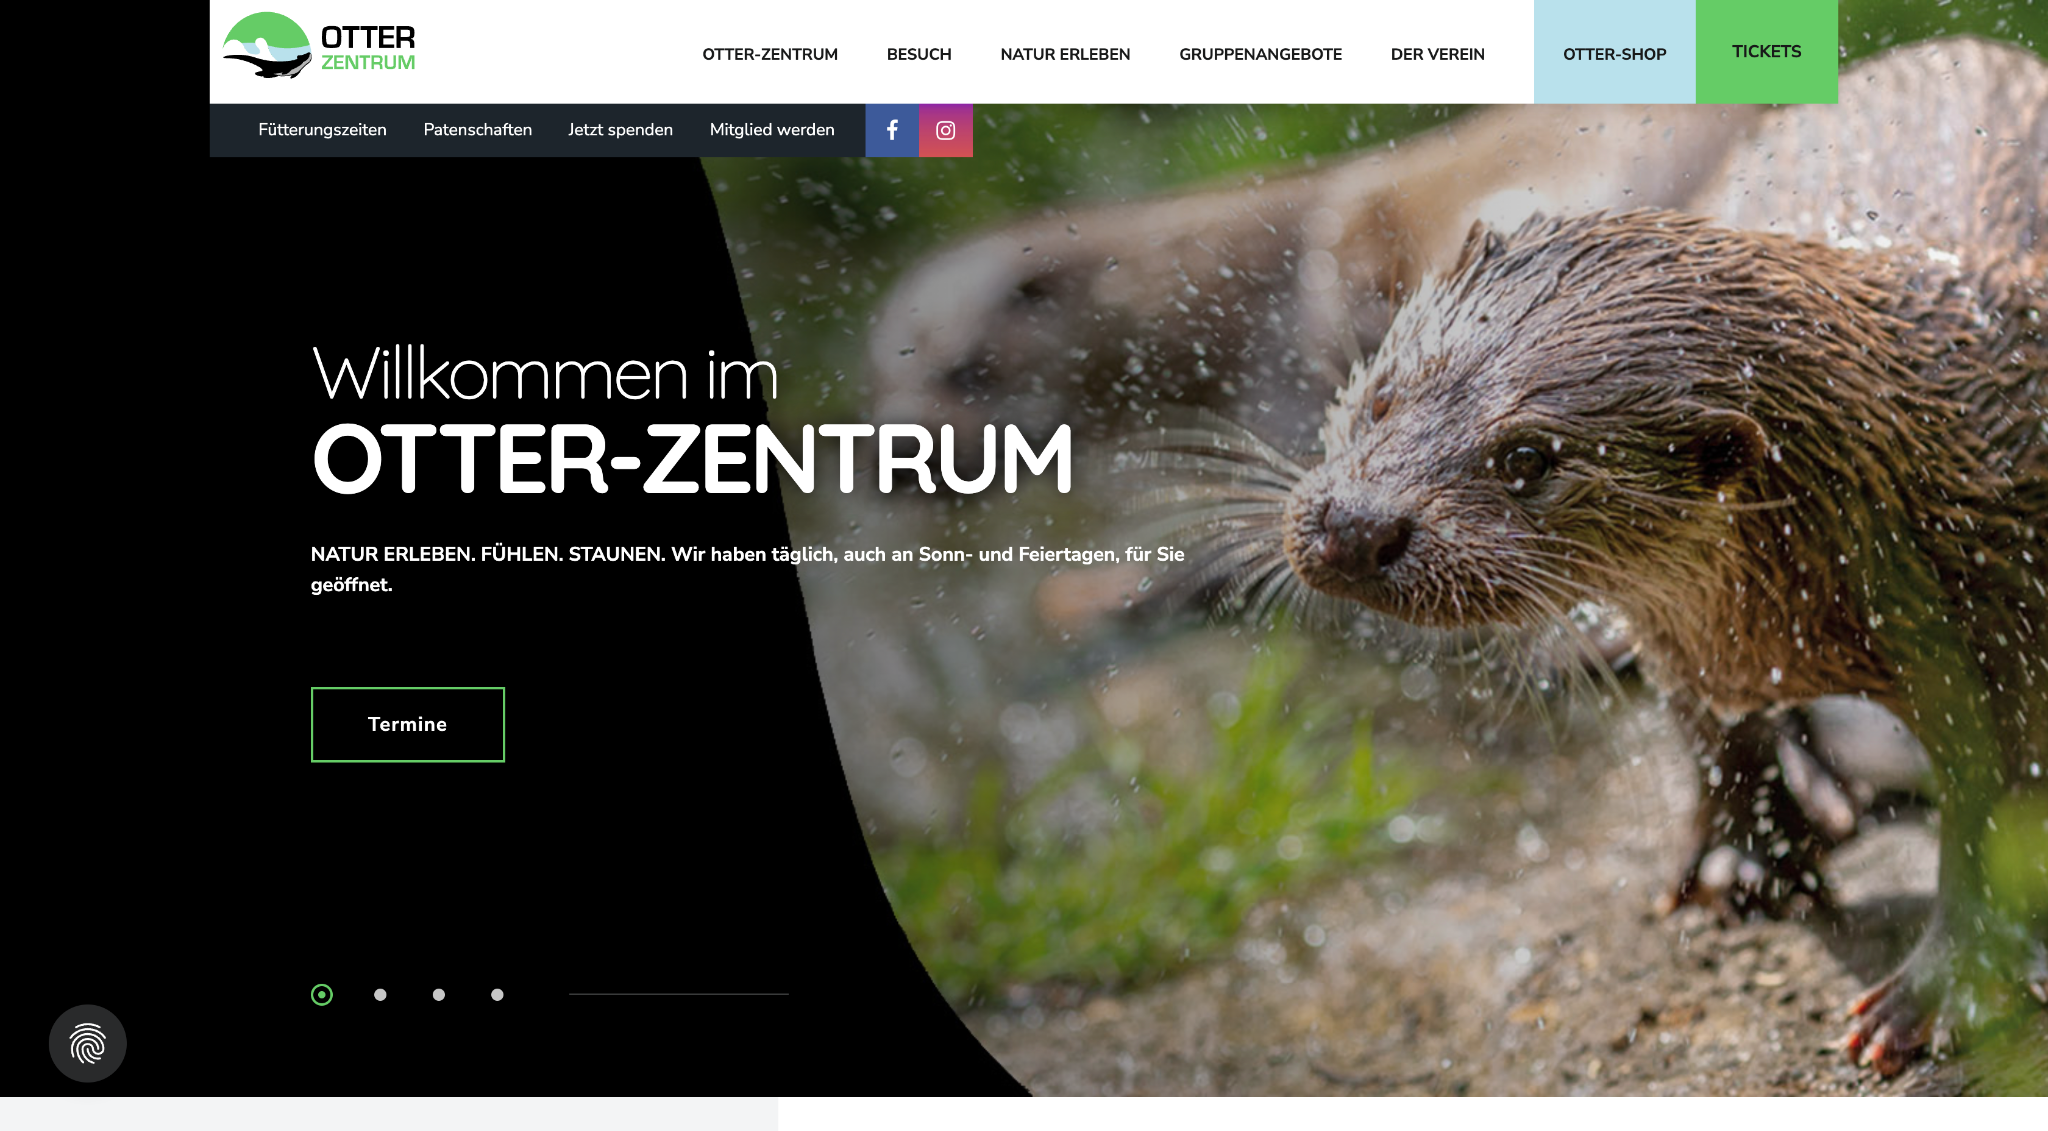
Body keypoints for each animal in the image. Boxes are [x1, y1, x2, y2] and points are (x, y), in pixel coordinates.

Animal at [1264, 38, 2045, 1075]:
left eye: (1527, 458)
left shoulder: (2003, 629)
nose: (1355, 525)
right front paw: (1742, 861)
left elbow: (1994, 819)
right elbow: (1714, 737)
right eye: (1384, 394)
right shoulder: (1685, 638)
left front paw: (1940, 989)